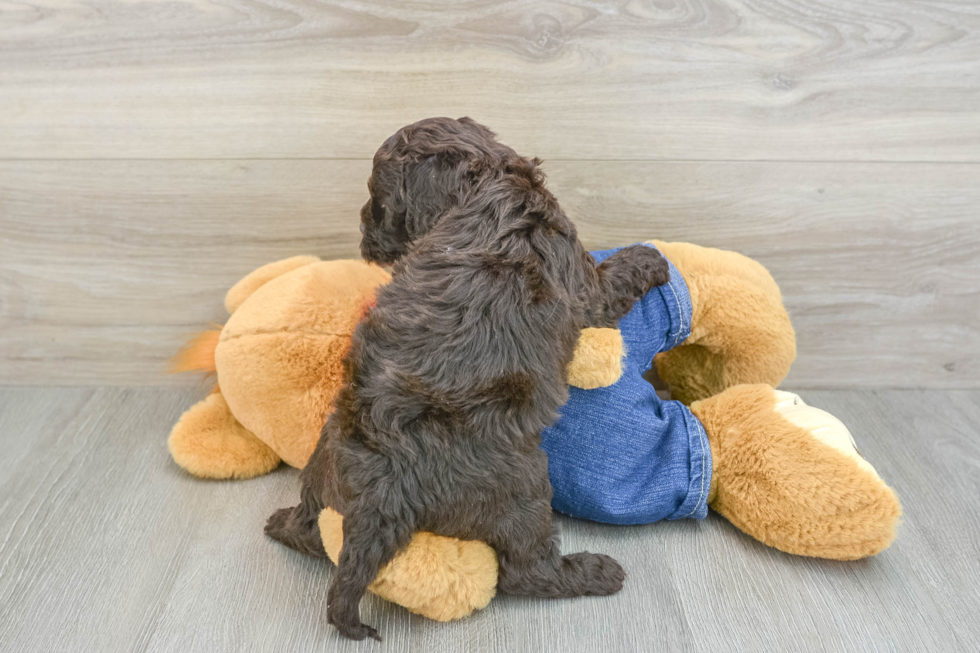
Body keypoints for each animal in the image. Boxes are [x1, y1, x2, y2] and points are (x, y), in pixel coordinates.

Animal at [264, 116, 668, 636]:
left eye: (378, 200)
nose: (362, 235)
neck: (486, 182)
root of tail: (382, 496)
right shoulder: (585, 284)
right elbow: (613, 278)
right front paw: (650, 257)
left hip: (325, 460)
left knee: (311, 526)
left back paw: (282, 524)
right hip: (522, 491)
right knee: (527, 572)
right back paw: (596, 572)